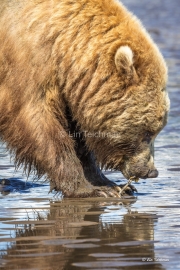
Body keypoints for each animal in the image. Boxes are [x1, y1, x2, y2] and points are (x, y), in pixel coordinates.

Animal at [0, 1, 169, 197]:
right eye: (148, 133)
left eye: (157, 130)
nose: (151, 171)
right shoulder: (25, 62)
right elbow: (37, 123)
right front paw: (88, 189)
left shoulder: (67, 89)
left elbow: (77, 136)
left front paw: (111, 185)